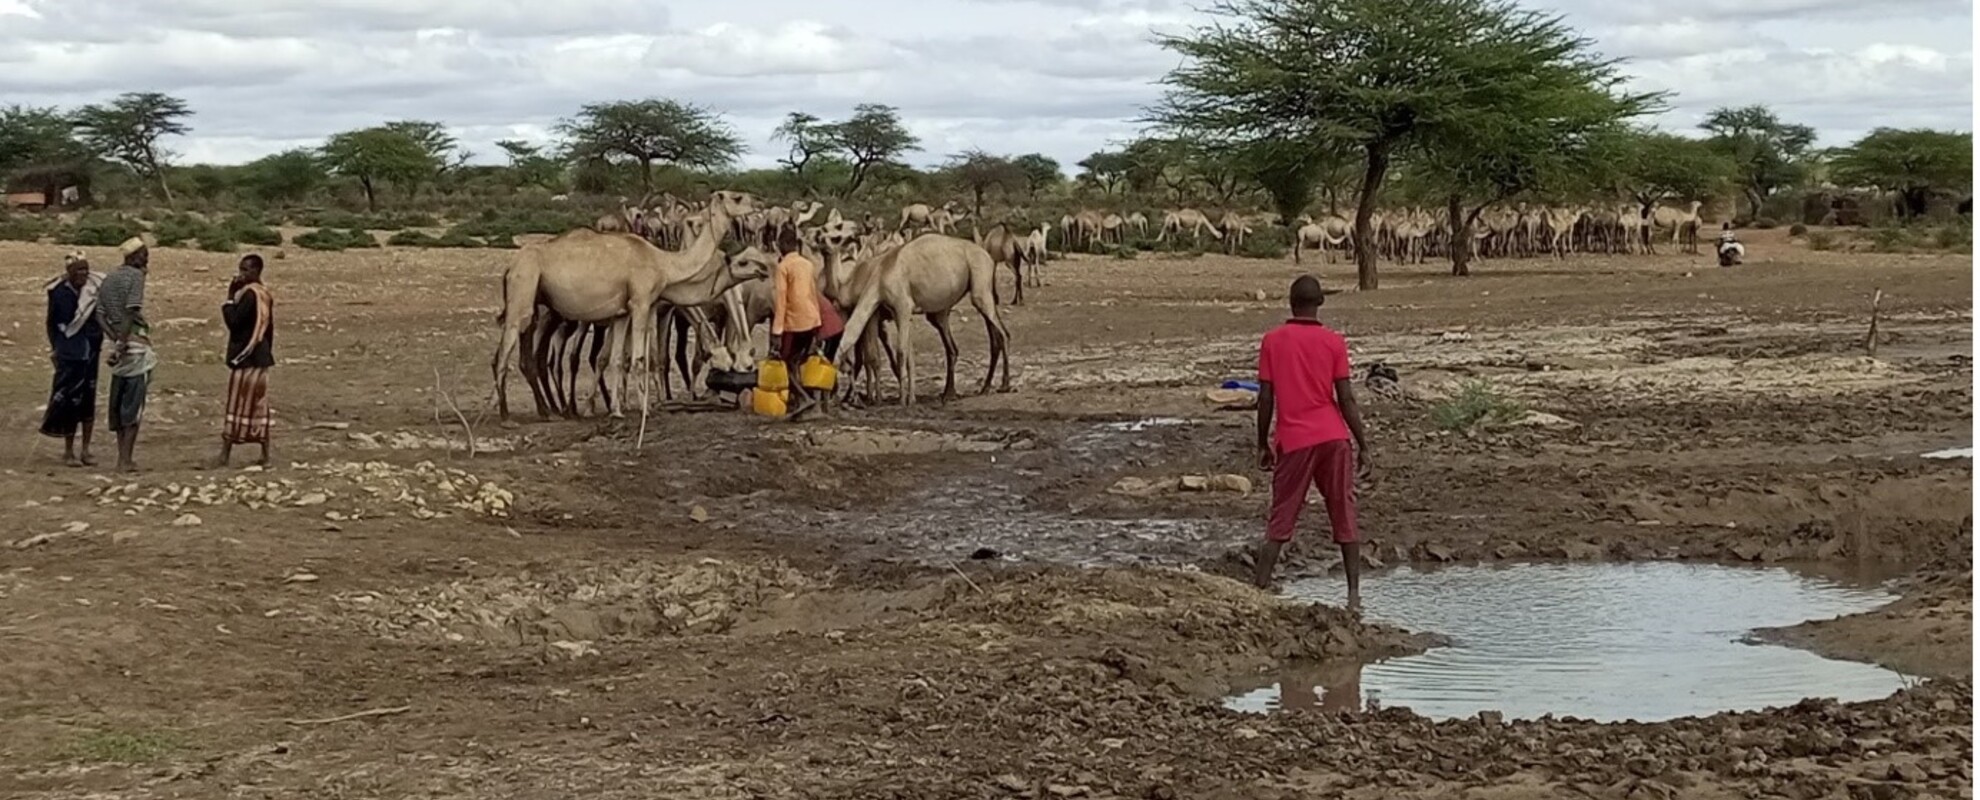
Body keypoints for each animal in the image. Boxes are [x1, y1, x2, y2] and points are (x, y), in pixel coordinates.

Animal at [491, 191, 752, 421]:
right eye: (737, 197)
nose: (755, 203)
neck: (664, 263)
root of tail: (510, 267)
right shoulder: (643, 305)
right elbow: (643, 357)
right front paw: (647, 407)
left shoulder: (624, 313)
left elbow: (616, 358)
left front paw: (617, 409)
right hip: (527, 292)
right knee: (511, 352)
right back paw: (509, 415)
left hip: (541, 308)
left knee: (531, 355)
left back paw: (550, 411)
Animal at [823, 232, 1013, 405]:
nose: (829, 389)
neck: (881, 275)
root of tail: (988, 256)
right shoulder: (893, 312)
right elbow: (901, 355)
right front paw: (905, 398)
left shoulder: (901, 307)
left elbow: (900, 352)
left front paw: (901, 400)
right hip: (944, 310)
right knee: (966, 344)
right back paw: (961, 392)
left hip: (980, 288)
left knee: (1003, 334)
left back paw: (1004, 385)